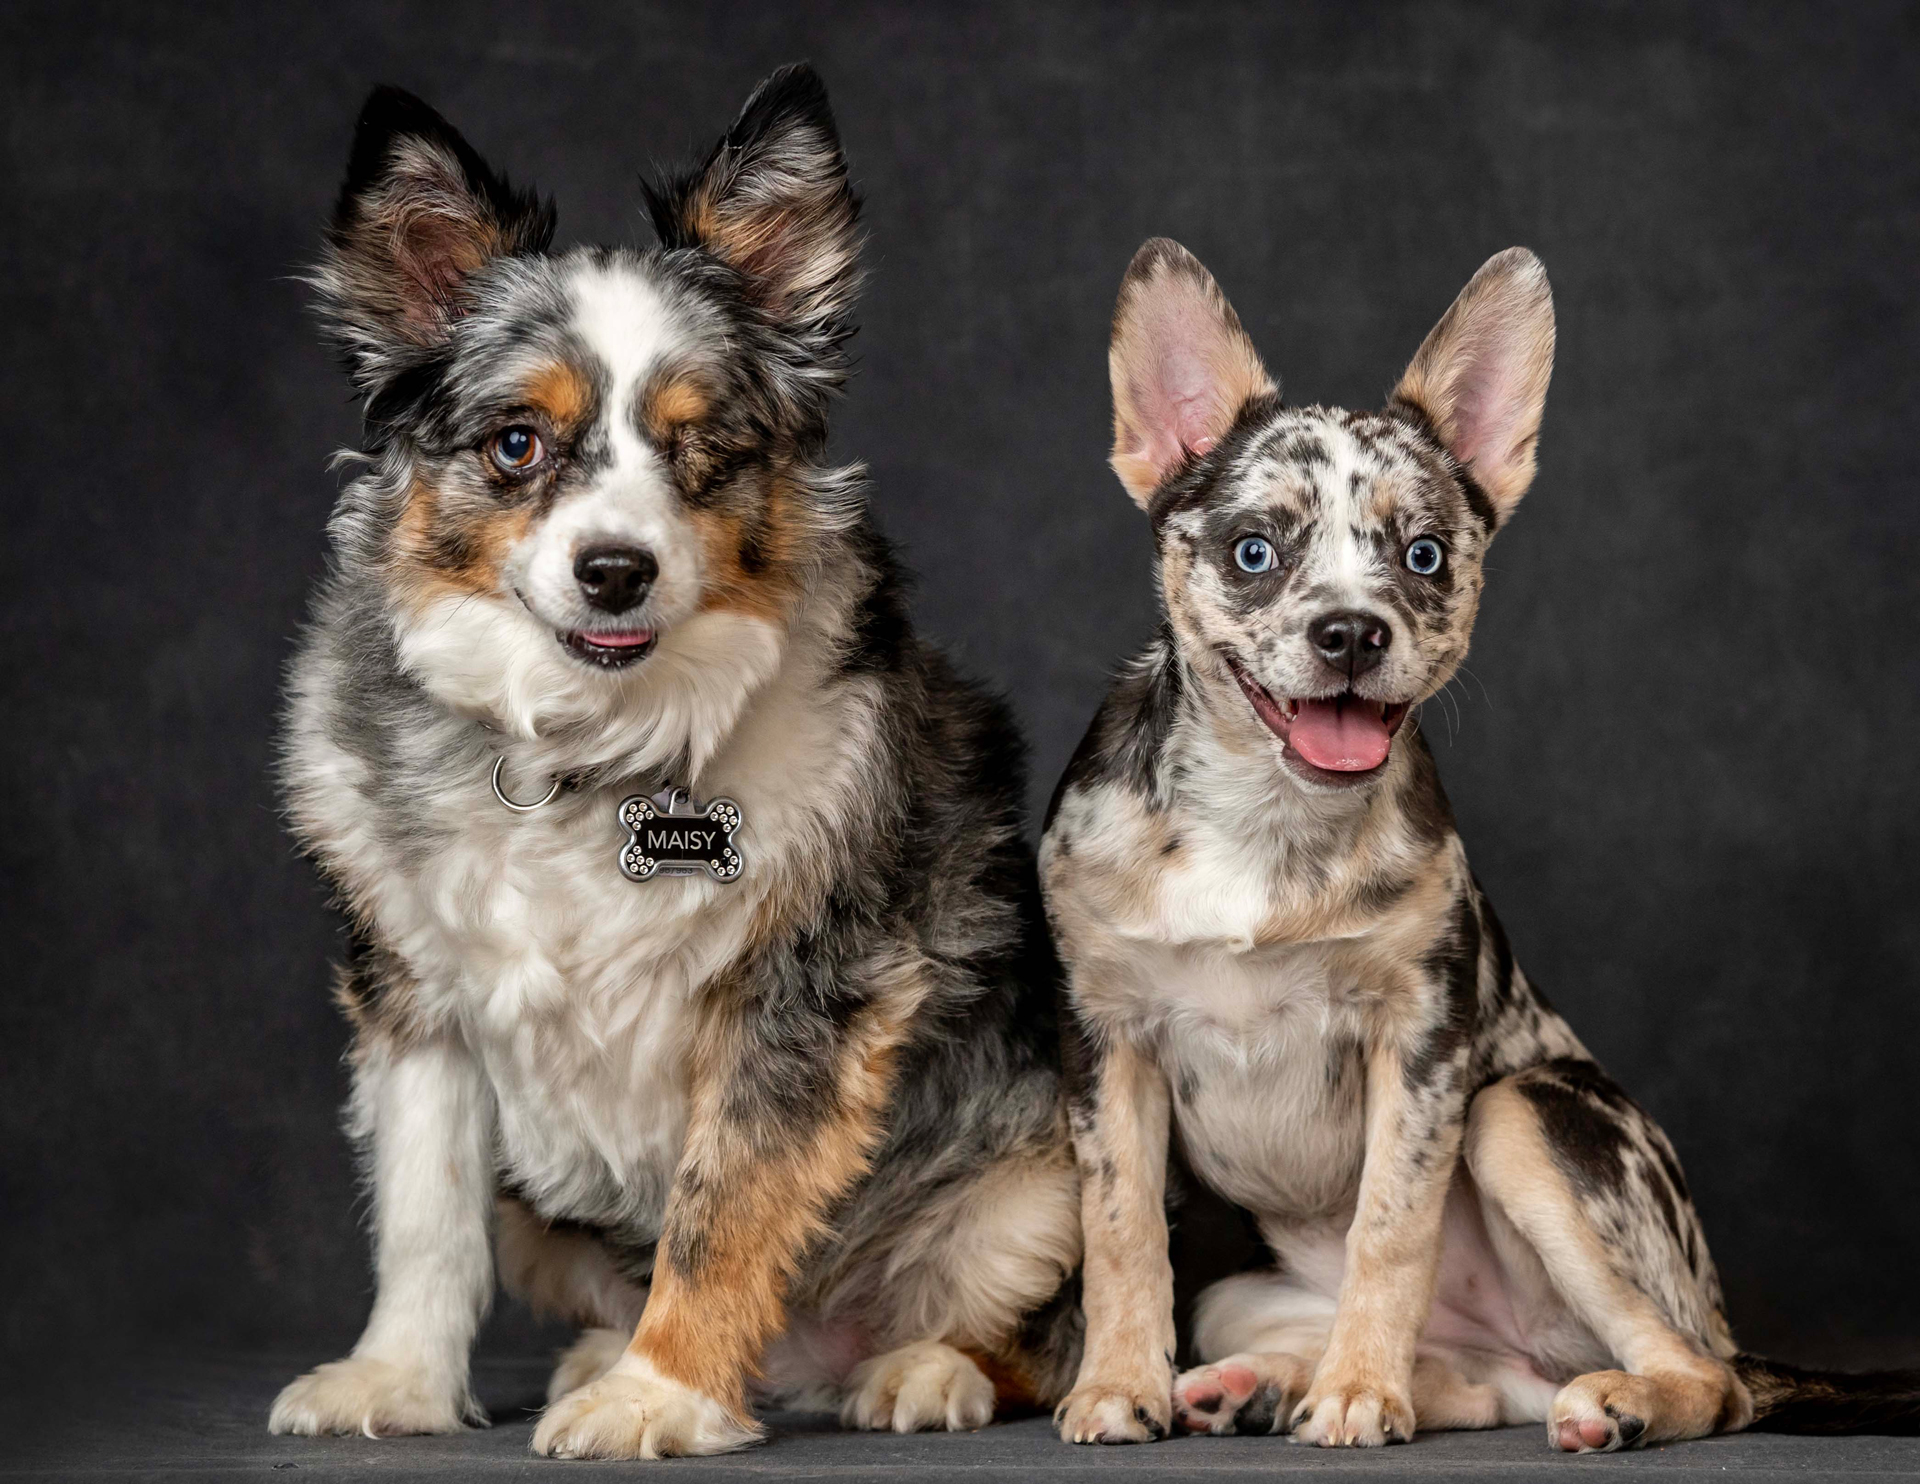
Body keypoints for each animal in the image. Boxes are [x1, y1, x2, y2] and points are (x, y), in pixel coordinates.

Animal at [272, 69, 1090, 1459]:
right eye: (514, 443)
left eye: (700, 443)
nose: (615, 568)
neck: (587, 753)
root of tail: (806, 1355)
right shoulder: (415, 1000)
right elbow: (425, 1215)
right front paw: (397, 1380)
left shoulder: (802, 997)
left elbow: (721, 1212)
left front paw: (662, 1393)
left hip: (1045, 1177)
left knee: (1032, 1329)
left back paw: (919, 1370)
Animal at [1052, 239, 1920, 1443]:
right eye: (1254, 551)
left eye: (1423, 556)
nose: (1352, 631)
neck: (1266, 823)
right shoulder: (1108, 1046)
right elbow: (1122, 1230)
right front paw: (1116, 1382)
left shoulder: (1421, 1045)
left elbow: (1390, 1228)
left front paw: (1358, 1393)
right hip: (1249, 1293)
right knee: (1462, 1378)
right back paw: (1260, 1384)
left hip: (1516, 1121)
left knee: (1707, 1378)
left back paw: (1593, 1400)